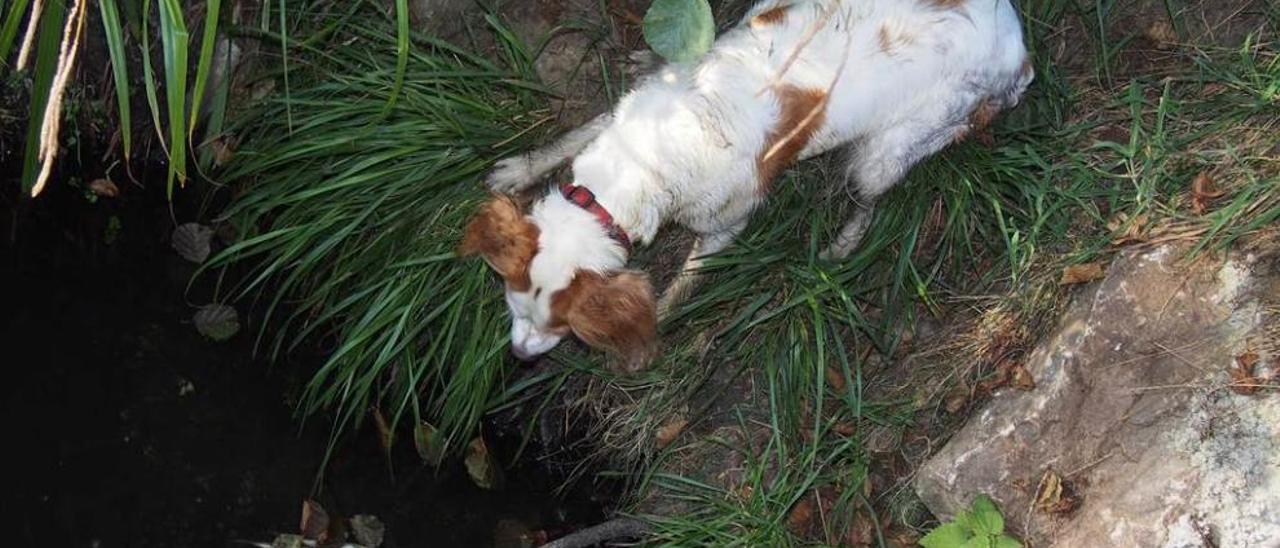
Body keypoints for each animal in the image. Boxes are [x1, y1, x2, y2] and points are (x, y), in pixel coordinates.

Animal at [460, 0, 1029, 368]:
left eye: (562, 328)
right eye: (512, 307)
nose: (517, 355)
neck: (645, 162)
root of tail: (1018, 50)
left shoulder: (725, 226)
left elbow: (681, 284)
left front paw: (656, 324)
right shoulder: (618, 121)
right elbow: (574, 135)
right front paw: (521, 170)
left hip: (888, 151)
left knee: (869, 200)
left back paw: (842, 245)